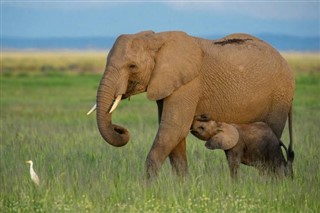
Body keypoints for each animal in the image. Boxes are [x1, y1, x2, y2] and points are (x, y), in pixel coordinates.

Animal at [87, 30, 296, 180]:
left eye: (132, 66)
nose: (120, 128)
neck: (158, 38)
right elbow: (175, 134)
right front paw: (183, 187)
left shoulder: (189, 84)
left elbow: (173, 128)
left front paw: (147, 188)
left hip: (279, 97)